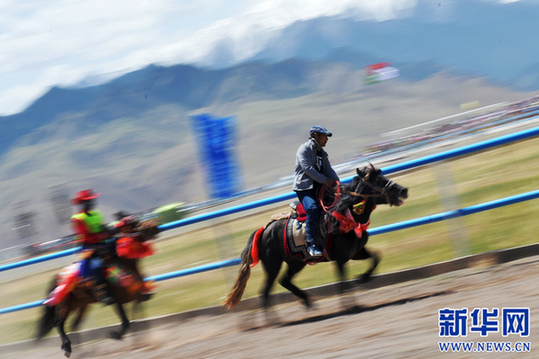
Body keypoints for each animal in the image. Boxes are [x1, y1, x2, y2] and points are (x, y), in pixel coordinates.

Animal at [35, 219, 158, 358]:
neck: (124, 264)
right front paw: (115, 335)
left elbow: (137, 317)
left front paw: (142, 341)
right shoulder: (116, 301)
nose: (154, 227)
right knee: (59, 324)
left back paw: (79, 350)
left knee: (74, 325)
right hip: (64, 306)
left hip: (82, 305)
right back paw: (67, 347)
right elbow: (126, 321)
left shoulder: (137, 297)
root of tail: (59, 276)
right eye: (135, 224)